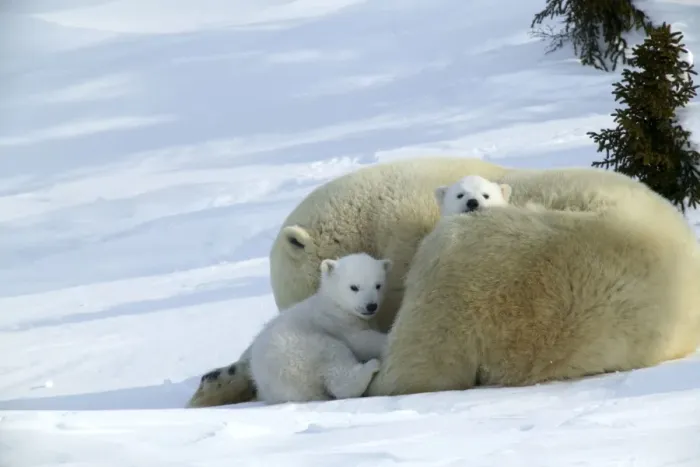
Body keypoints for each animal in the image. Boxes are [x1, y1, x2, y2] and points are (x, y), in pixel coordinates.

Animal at [250, 252, 391, 404]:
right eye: (354, 287)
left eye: (378, 285)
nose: (371, 306)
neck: (335, 304)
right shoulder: (337, 322)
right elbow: (360, 341)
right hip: (301, 349)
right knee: (335, 360)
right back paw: (371, 366)